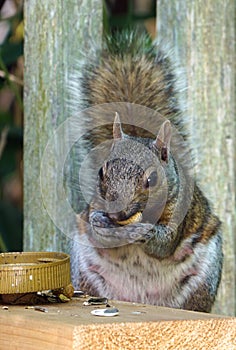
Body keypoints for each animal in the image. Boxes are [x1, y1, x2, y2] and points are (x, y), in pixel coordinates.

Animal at [71, 32, 222, 312]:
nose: (116, 212)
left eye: (152, 179)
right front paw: (99, 221)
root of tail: (141, 300)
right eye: (101, 172)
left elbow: (165, 244)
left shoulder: (180, 211)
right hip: (86, 274)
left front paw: (147, 231)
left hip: (202, 281)